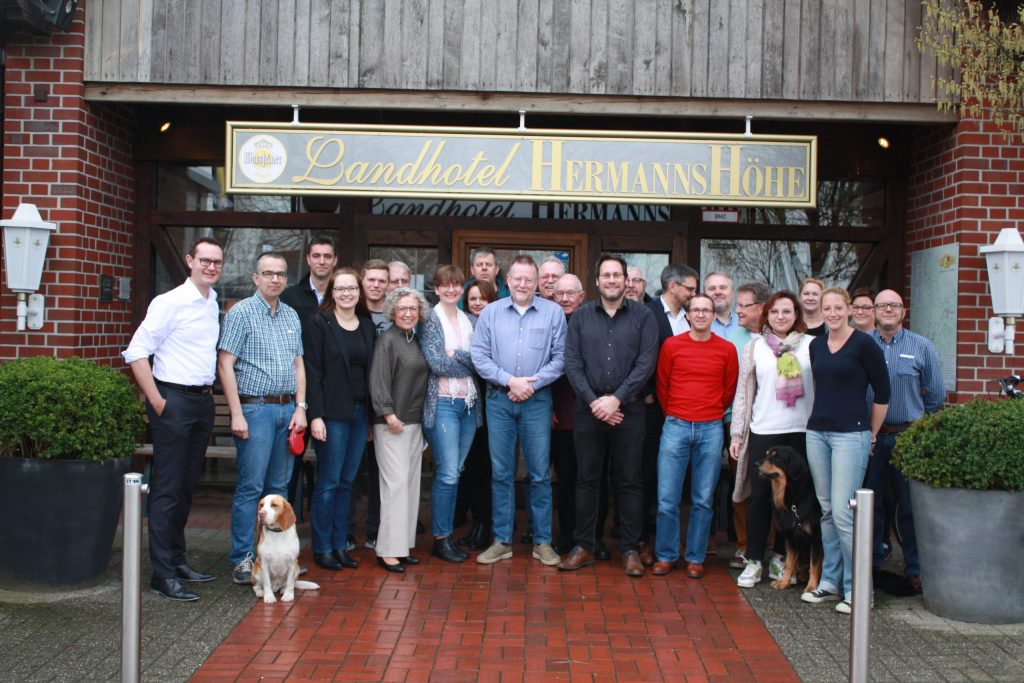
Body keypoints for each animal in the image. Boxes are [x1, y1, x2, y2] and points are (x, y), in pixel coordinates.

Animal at [757, 446, 823, 592]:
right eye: (766, 454)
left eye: (776, 457)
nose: (755, 464)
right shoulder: (791, 536)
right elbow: (789, 563)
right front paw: (784, 582)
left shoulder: (816, 538)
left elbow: (815, 565)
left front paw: (812, 587)